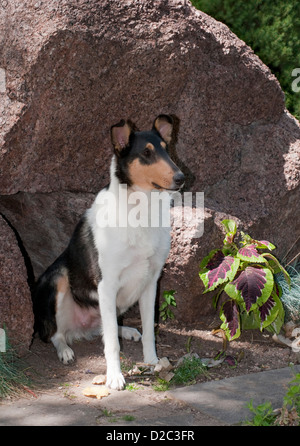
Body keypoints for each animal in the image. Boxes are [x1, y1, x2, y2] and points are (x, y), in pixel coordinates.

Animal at [32, 115, 183, 390]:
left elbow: (149, 331)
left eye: (166, 149)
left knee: (104, 327)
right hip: (58, 278)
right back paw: (65, 350)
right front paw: (115, 377)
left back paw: (129, 331)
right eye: (146, 153)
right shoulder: (107, 283)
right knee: (57, 333)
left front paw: (153, 362)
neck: (140, 211)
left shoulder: (150, 282)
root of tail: (78, 329)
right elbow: (111, 343)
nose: (181, 177)